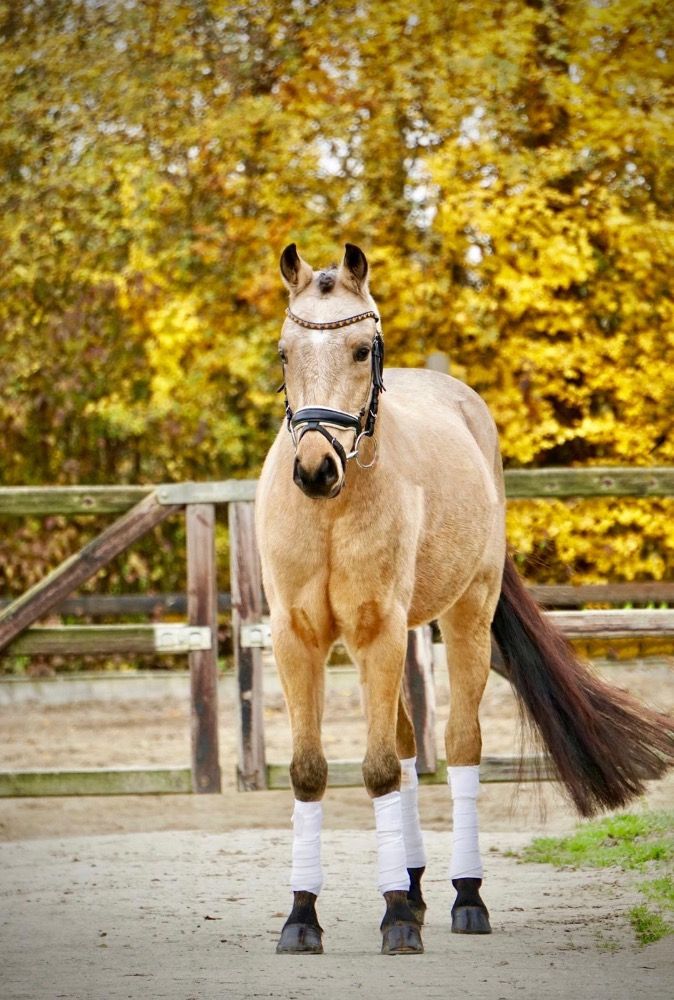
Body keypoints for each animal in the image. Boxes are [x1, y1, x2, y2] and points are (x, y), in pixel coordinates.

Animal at [255, 242, 674, 956]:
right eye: (285, 353)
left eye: (361, 350)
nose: (313, 470)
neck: (332, 509)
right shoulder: (298, 636)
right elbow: (313, 769)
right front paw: (303, 916)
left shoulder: (378, 631)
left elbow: (377, 770)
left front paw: (396, 917)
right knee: (405, 746)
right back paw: (414, 885)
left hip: (465, 618)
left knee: (458, 745)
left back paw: (462, 897)